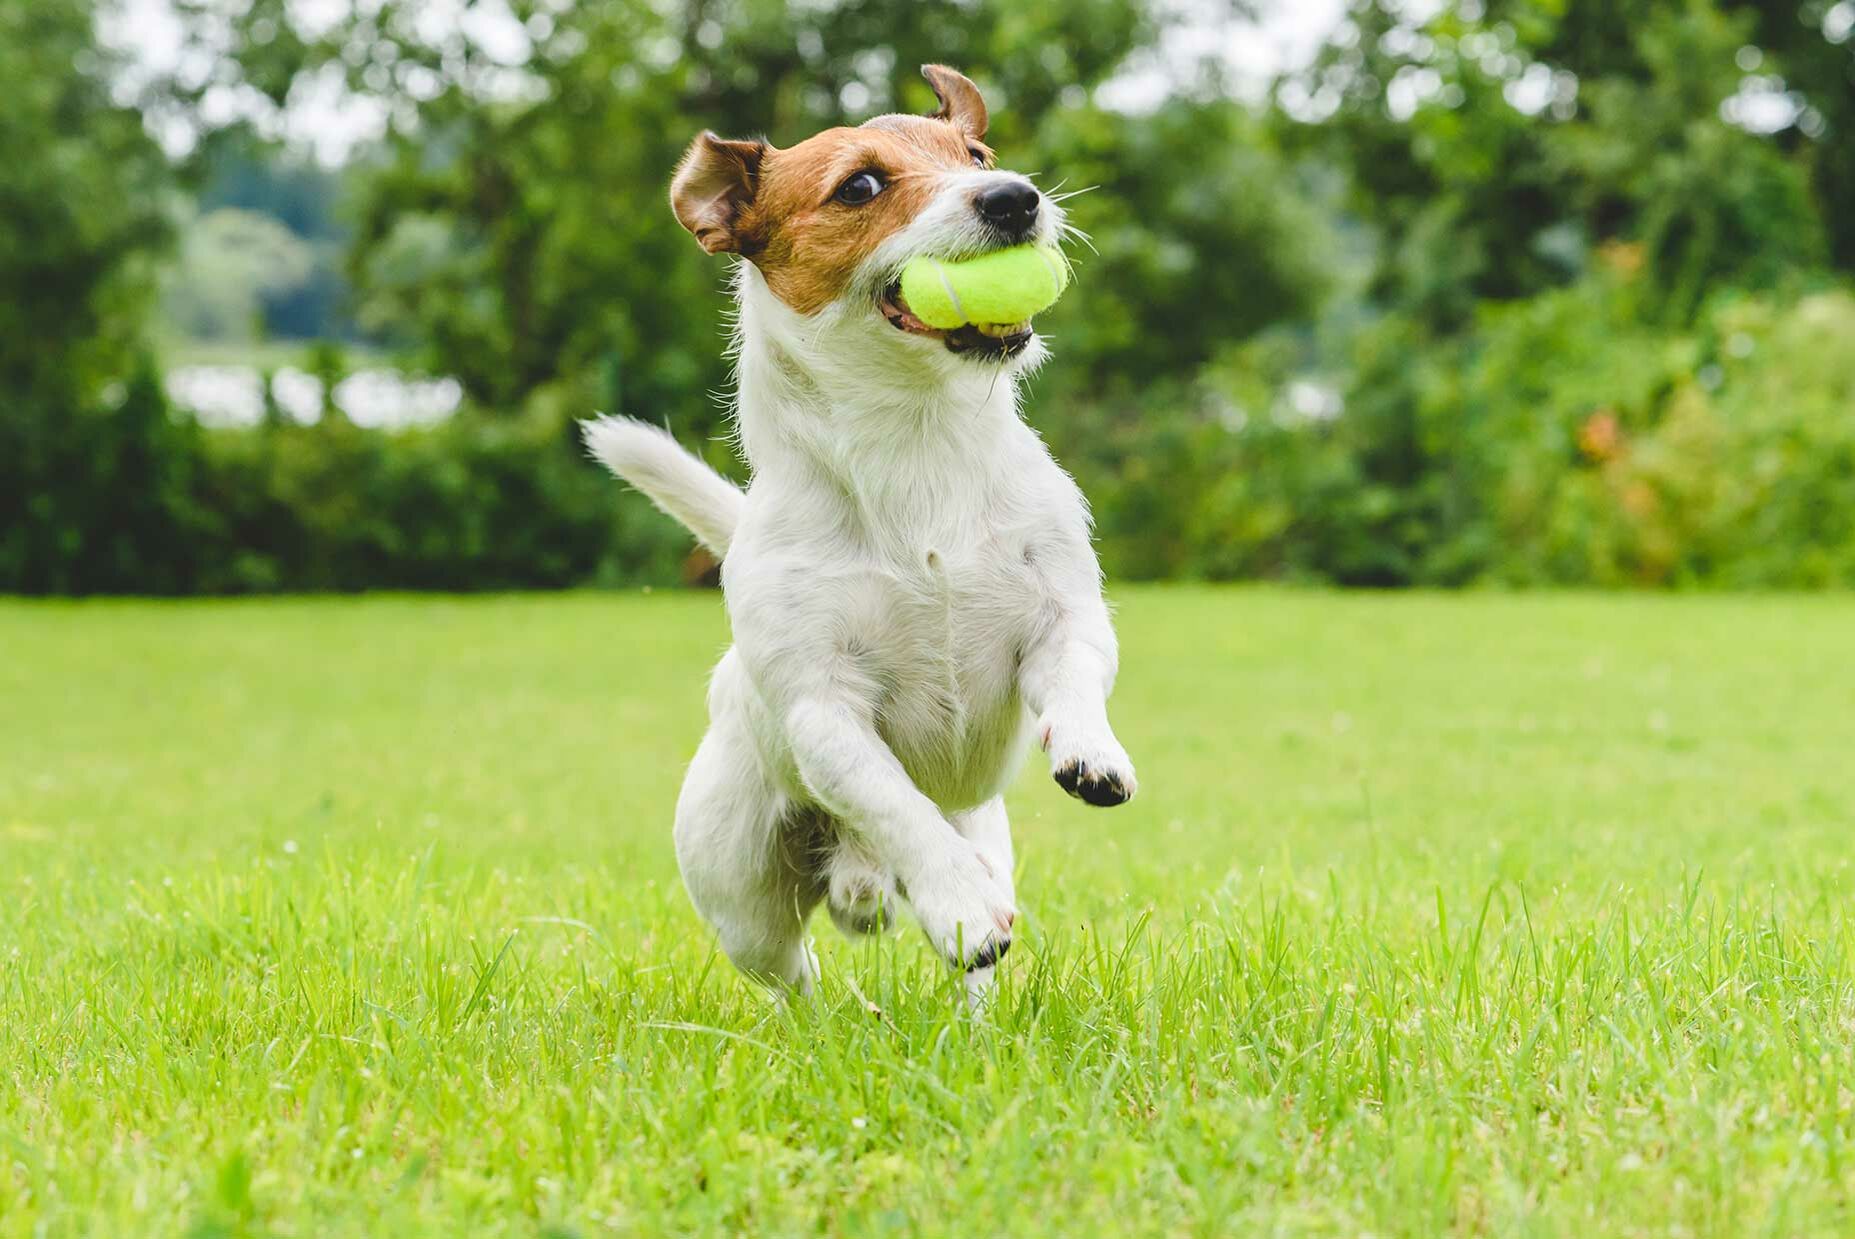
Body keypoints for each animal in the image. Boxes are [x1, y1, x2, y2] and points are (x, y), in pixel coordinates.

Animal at [586, 63, 1135, 1001]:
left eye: (975, 153)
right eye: (861, 186)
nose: (1014, 197)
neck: (917, 442)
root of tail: (849, 868)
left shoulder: (1064, 615)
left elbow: (1074, 677)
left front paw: (1089, 750)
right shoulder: (823, 710)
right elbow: (893, 800)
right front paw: (954, 901)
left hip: (983, 830)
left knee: (969, 949)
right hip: (742, 892)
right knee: (794, 973)